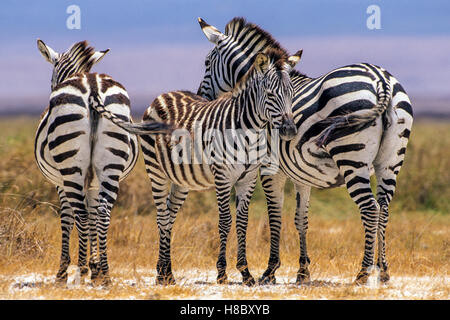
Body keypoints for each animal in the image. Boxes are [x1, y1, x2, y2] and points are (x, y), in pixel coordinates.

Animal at [34, 39, 171, 284]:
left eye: (51, 78)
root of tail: (92, 88)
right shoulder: (93, 181)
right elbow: (94, 213)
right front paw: (96, 266)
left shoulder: (61, 182)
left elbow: (68, 218)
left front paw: (65, 272)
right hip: (110, 165)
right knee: (104, 212)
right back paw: (105, 275)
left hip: (71, 167)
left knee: (80, 214)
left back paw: (80, 272)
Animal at [90, 47, 302, 284]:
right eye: (270, 94)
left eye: (292, 94)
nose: (290, 130)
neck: (249, 131)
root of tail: (162, 95)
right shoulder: (222, 177)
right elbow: (225, 221)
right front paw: (222, 273)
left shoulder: (248, 179)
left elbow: (242, 222)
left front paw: (245, 273)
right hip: (156, 171)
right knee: (162, 217)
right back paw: (164, 274)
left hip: (181, 180)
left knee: (169, 216)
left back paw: (164, 271)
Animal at [195, 17, 414, 284]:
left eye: (207, 63)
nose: (200, 98)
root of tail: (381, 80)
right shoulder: (302, 174)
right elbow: (301, 220)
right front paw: (302, 271)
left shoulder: (270, 169)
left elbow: (275, 216)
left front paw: (270, 271)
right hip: (391, 162)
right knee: (384, 208)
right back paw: (383, 271)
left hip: (351, 157)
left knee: (370, 208)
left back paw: (363, 273)